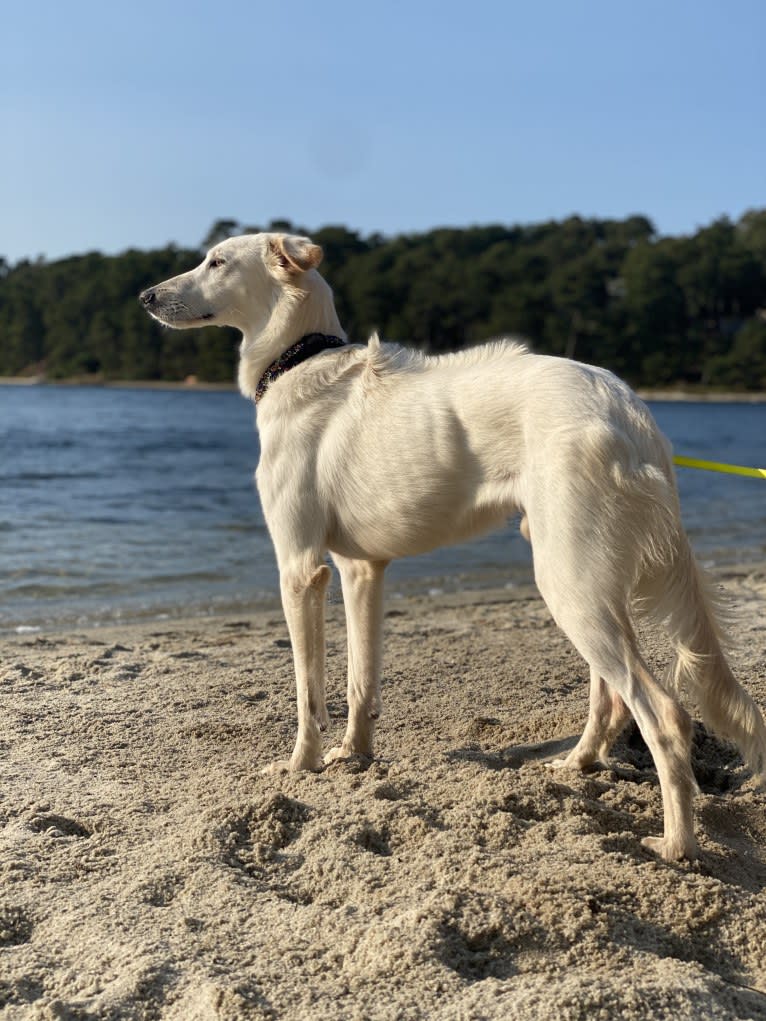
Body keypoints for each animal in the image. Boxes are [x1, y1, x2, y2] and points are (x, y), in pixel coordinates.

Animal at [140, 233, 763, 861]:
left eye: (217, 261)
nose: (146, 296)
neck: (300, 359)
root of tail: (631, 407)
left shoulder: (300, 570)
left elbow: (308, 694)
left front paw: (302, 765)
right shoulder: (360, 569)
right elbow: (360, 682)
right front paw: (353, 756)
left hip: (570, 584)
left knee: (664, 716)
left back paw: (676, 844)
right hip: (587, 580)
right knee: (611, 701)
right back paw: (577, 764)